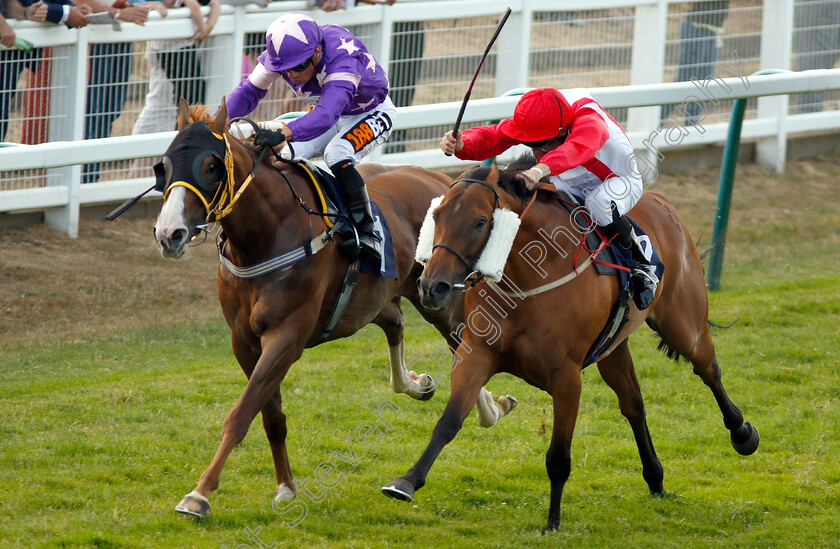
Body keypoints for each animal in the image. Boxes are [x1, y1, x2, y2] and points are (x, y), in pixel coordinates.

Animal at [154, 99, 516, 520]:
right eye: (163, 166)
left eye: (211, 166)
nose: (169, 234)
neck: (266, 234)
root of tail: (451, 184)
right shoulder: (243, 341)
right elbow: (270, 415)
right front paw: (286, 486)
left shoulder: (287, 337)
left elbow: (242, 413)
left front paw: (199, 494)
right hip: (378, 296)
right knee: (396, 323)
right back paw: (420, 384)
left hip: (438, 295)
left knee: (463, 341)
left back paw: (491, 408)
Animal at [382, 159, 760, 532]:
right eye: (437, 215)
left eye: (480, 221)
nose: (432, 286)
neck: (528, 277)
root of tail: (663, 203)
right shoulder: (476, 355)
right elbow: (448, 422)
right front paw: (406, 482)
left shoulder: (566, 379)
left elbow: (558, 457)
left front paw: (552, 522)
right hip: (613, 349)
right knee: (634, 405)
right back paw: (655, 478)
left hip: (684, 325)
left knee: (708, 369)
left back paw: (742, 433)